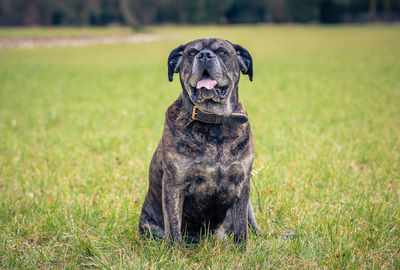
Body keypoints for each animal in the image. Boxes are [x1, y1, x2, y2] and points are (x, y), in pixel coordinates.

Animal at [139, 38, 260, 249]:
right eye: (192, 53)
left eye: (222, 52)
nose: (204, 55)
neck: (214, 122)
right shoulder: (174, 184)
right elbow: (173, 227)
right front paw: (175, 253)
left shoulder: (242, 184)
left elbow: (241, 228)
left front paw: (242, 251)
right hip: (149, 225)